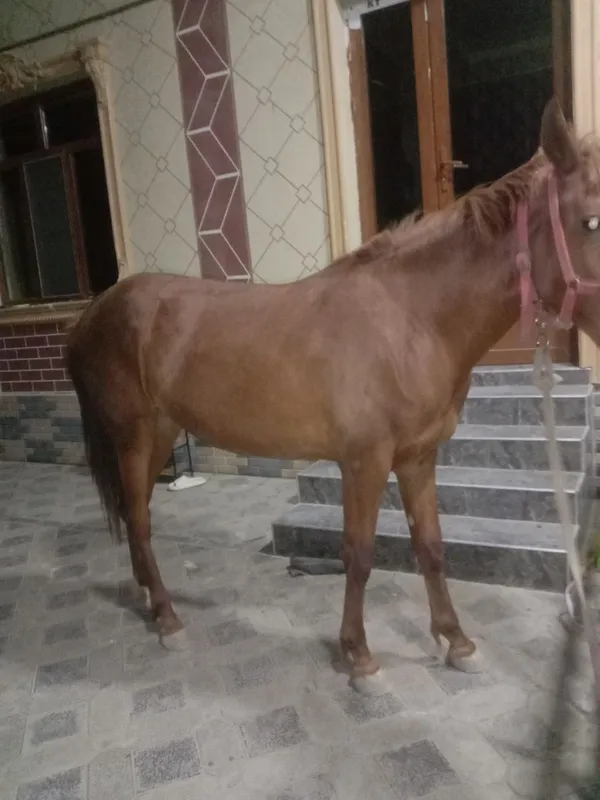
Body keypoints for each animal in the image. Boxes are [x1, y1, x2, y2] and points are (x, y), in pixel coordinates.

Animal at [65, 98, 600, 689]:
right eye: (590, 222)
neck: (410, 319)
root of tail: (95, 311)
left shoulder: (417, 458)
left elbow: (431, 547)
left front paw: (455, 640)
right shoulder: (363, 461)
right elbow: (359, 554)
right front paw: (358, 655)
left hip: (160, 432)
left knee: (137, 518)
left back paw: (148, 599)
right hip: (134, 436)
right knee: (139, 521)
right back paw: (166, 616)